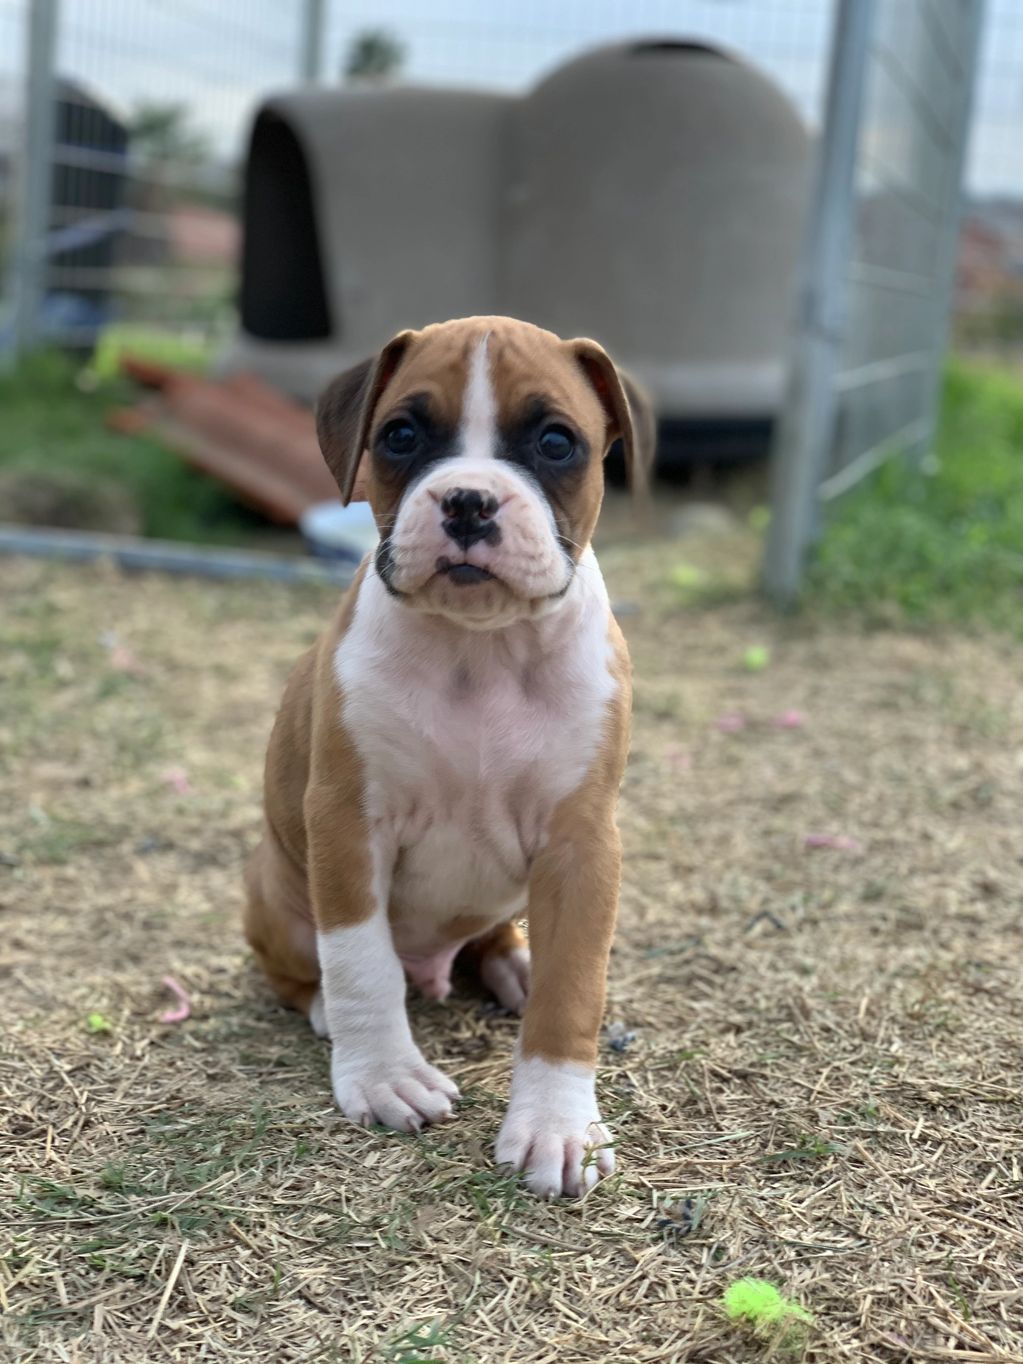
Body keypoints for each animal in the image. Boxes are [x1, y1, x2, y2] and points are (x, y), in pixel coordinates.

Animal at [244, 316, 651, 1194]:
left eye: (555, 442)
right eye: (400, 435)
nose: (467, 499)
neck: (480, 648)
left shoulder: (580, 845)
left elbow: (573, 989)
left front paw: (555, 1124)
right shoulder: (347, 825)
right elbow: (359, 960)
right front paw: (382, 1075)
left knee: (501, 940)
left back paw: (517, 965)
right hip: (274, 892)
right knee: (307, 972)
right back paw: (327, 1010)